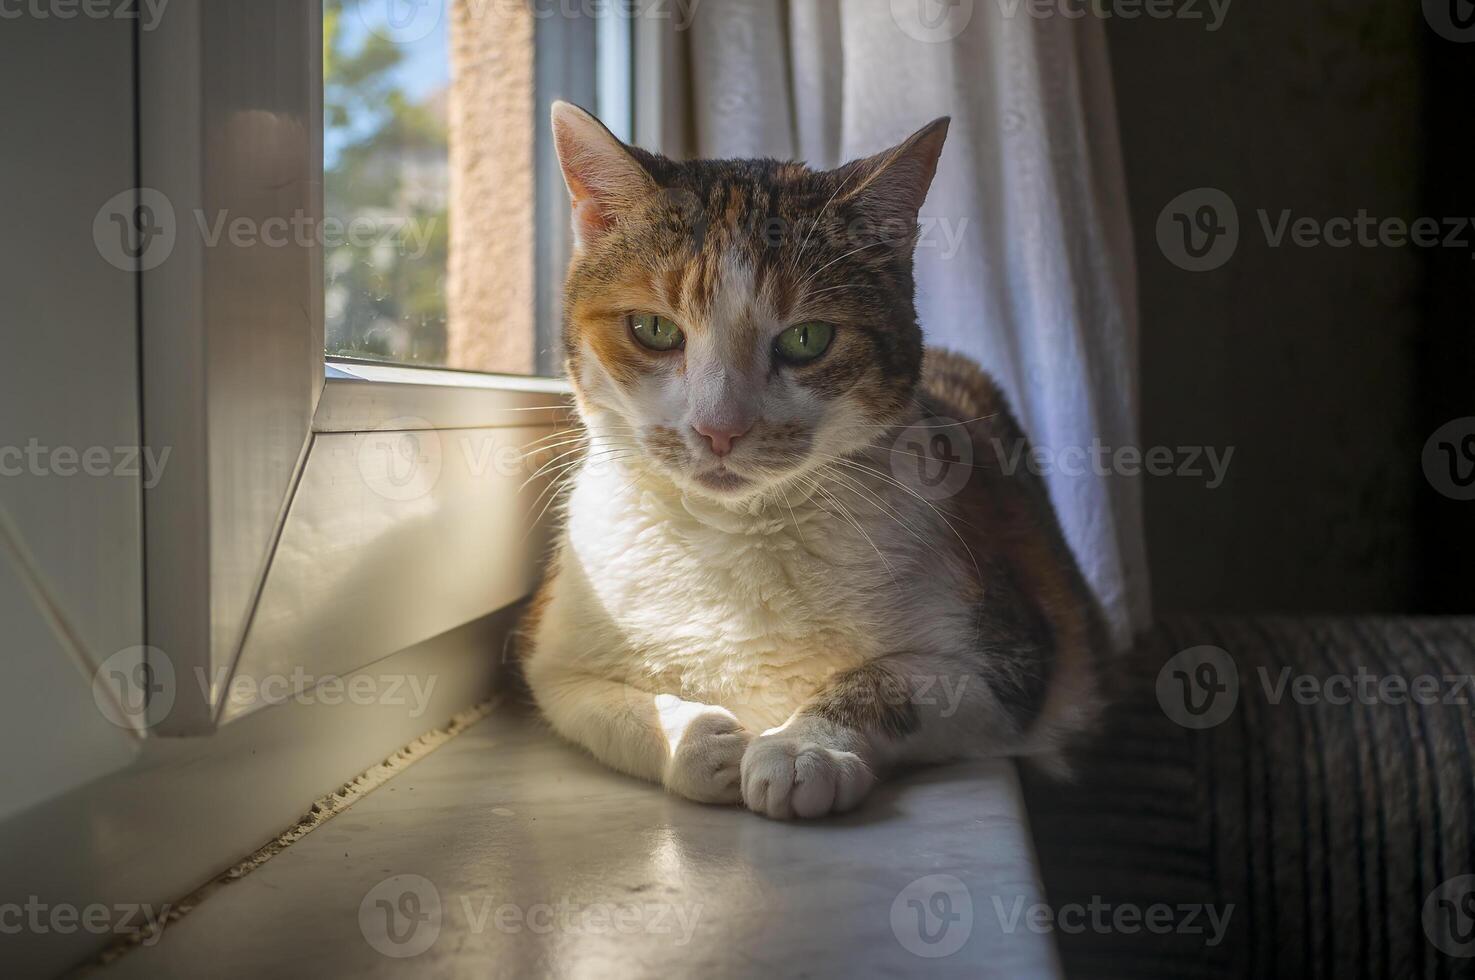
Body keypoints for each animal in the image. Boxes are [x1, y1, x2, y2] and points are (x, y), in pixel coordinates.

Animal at [519, 101, 1109, 820]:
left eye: (806, 338)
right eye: (654, 329)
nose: (719, 428)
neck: (736, 538)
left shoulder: (1010, 660)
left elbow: (885, 677)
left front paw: (804, 747)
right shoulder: (553, 651)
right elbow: (593, 702)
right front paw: (697, 738)